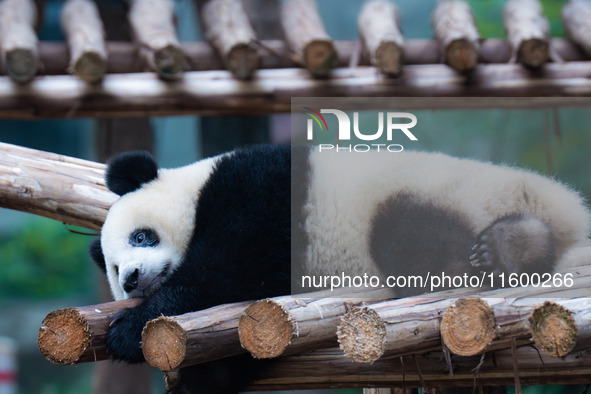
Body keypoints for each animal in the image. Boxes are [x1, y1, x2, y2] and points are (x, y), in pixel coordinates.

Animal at [89, 143, 591, 392]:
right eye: (113, 269)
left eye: (141, 237)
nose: (132, 279)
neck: (194, 190)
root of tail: (569, 214)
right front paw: (202, 378)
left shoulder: (257, 189)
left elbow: (228, 268)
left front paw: (128, 331)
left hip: (452, 194)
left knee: (414, 236)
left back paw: (508, 249)